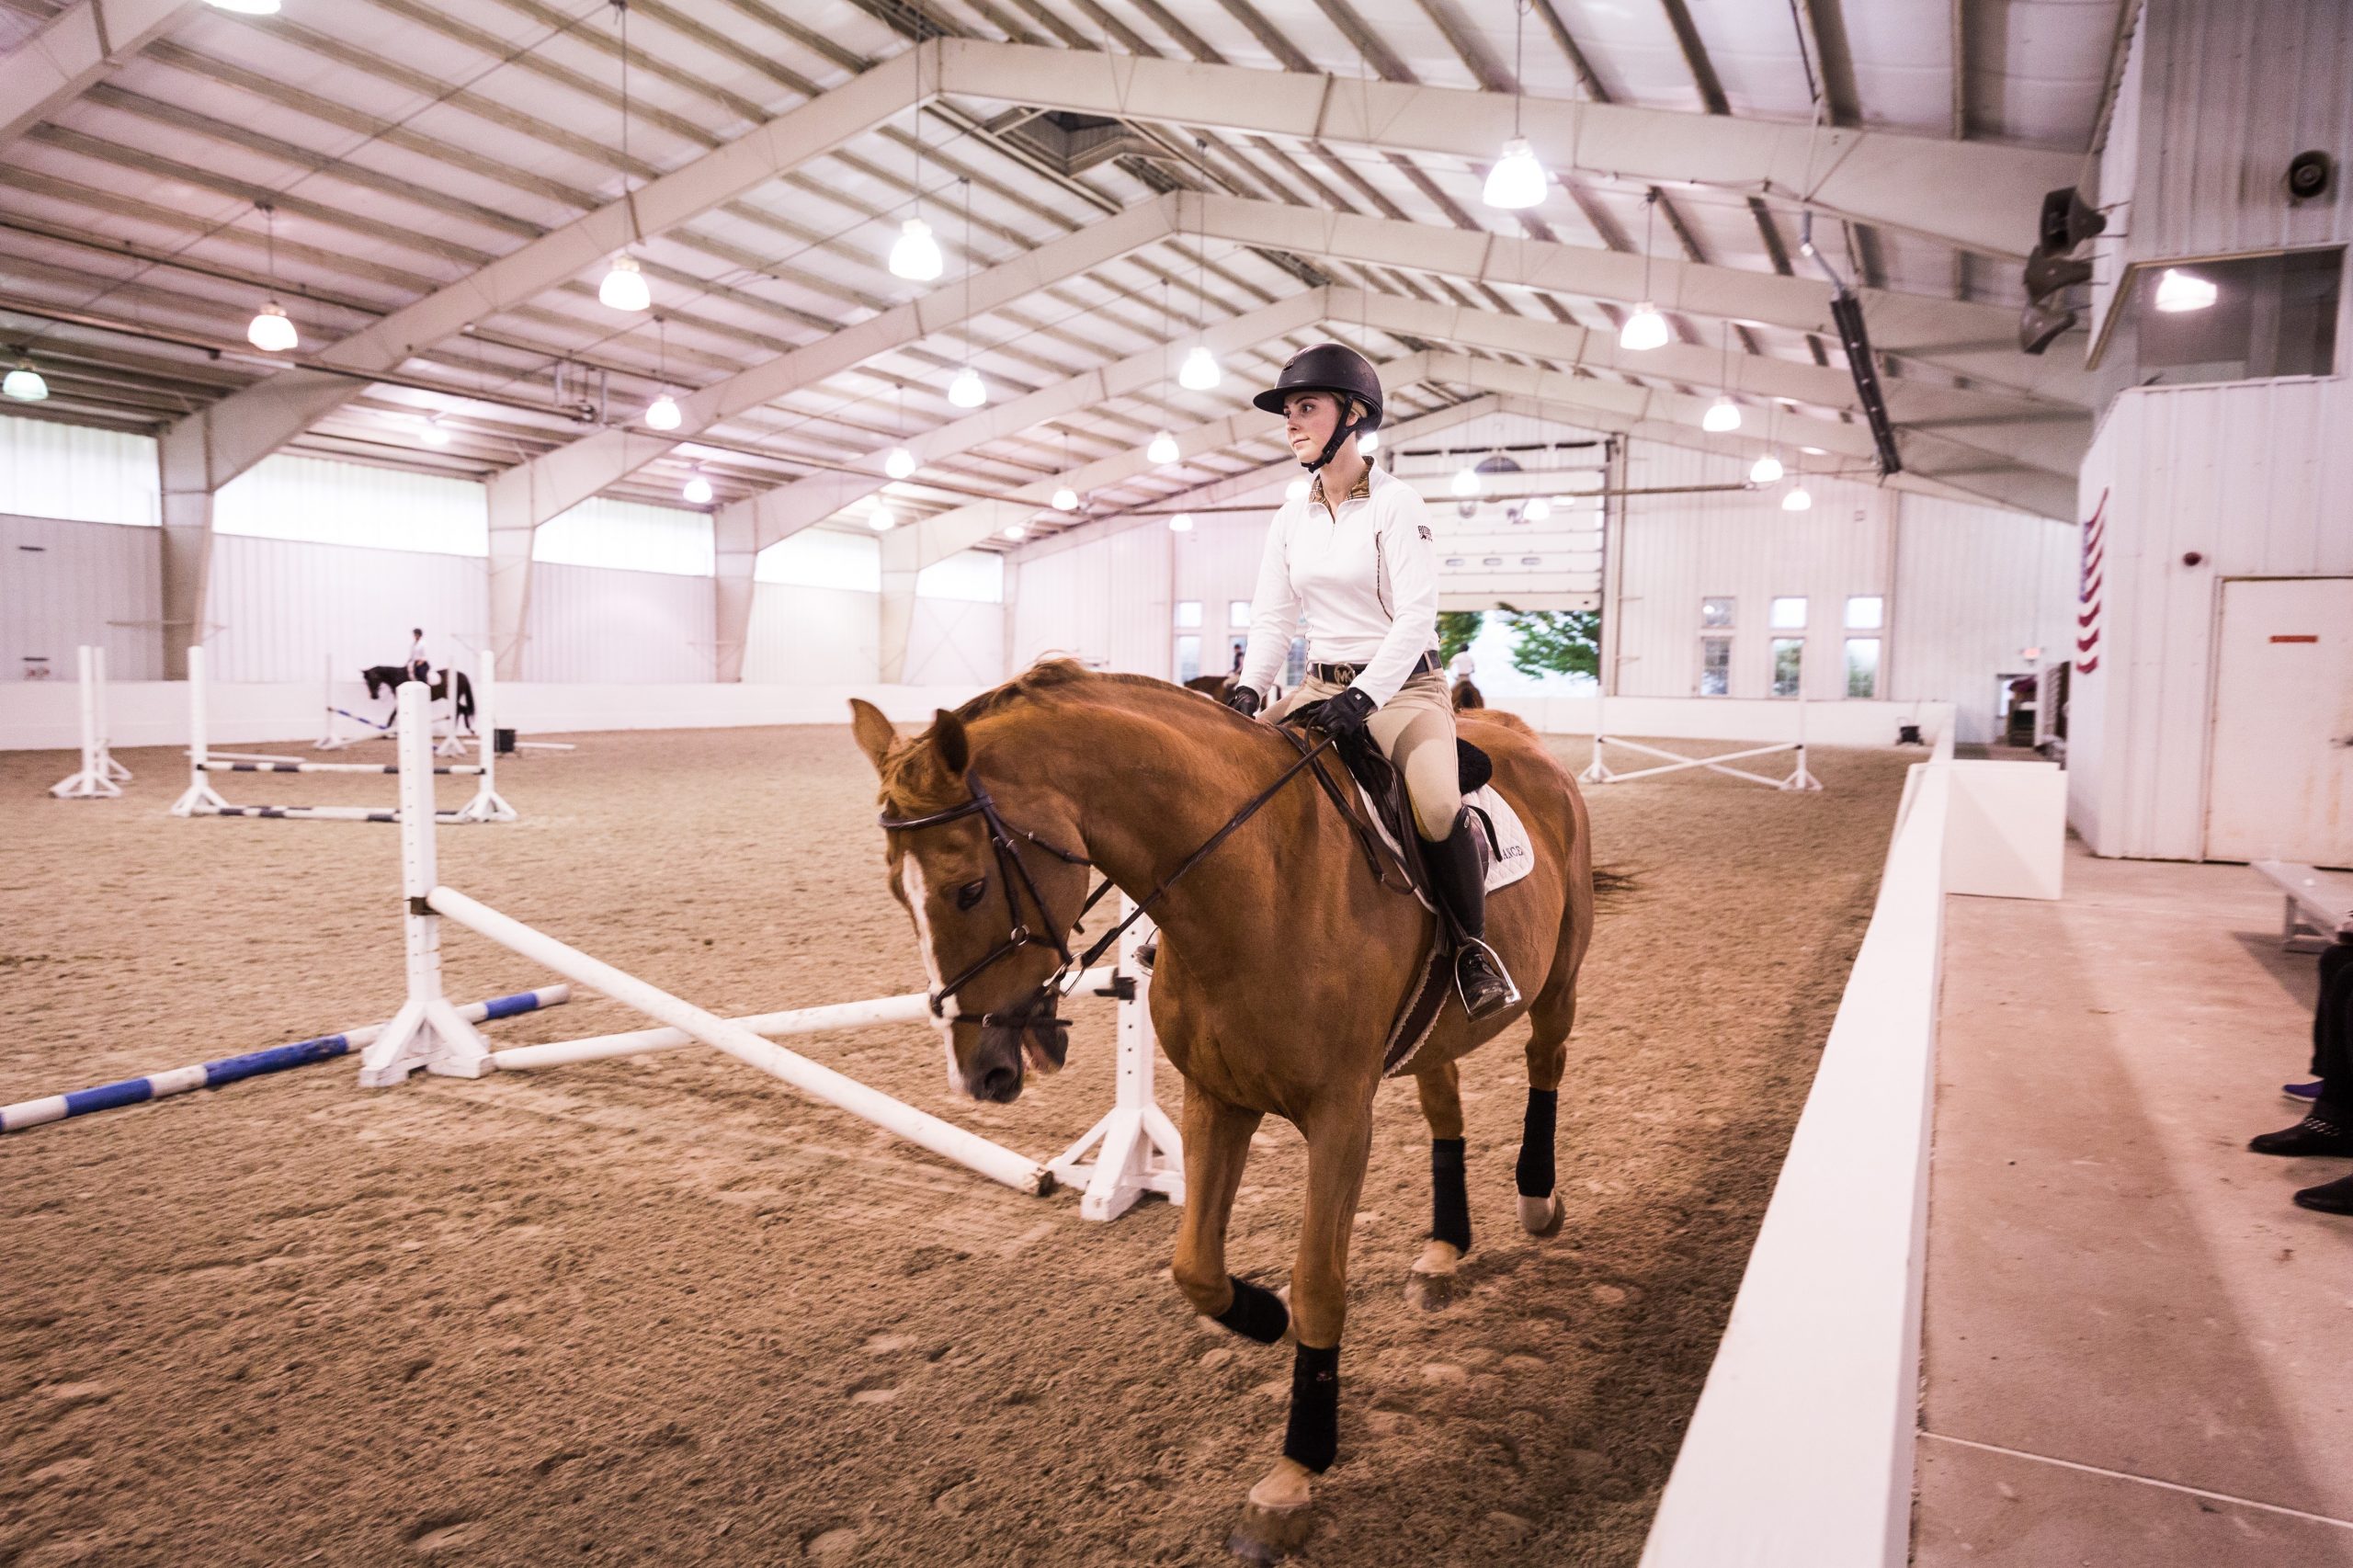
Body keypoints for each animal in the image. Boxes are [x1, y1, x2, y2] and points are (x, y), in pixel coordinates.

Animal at [850, 660, 1595, 1559]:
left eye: (968, 888)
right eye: (897, 893)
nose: (979, 1073)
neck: (1252, 885)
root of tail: (1519, 736)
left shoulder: (1341, 1118)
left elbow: (1320, 1284)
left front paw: (1294, 1475)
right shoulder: (1216, 1097)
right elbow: (1195, 1269)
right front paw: (1262, 1315)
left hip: (1559, 977)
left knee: (1545, 1065)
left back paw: (1537, 1200)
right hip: (1433, 1031)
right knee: (1444, 1105)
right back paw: (1445, 1250)